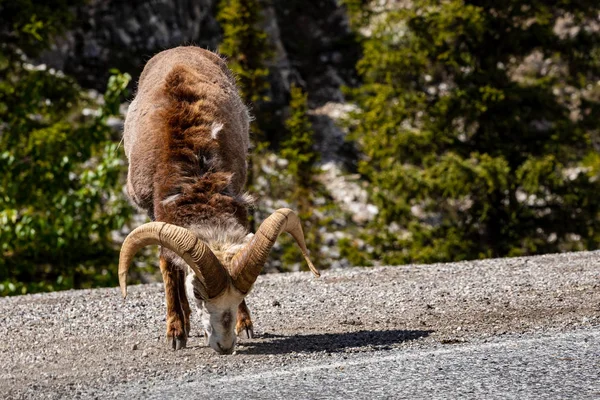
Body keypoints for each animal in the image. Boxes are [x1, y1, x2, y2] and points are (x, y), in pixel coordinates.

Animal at [119, 45, 322, 354]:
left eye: (243, 292)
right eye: (197, 293)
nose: (224, 345)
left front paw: (245, 326)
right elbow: (169, 267)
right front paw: (176, 334)